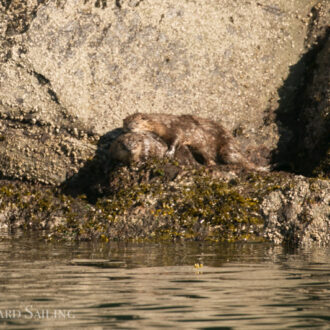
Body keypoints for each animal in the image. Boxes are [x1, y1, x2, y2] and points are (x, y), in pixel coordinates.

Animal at [122, 113, 266, 171]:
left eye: (135, 123)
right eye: (125, 124)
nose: (128, 128)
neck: (162, 123)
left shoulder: (175, 128)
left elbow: (176, 139)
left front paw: (169, 152)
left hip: (223, 148)